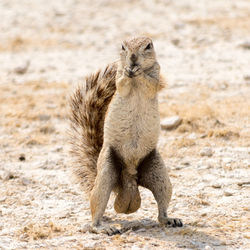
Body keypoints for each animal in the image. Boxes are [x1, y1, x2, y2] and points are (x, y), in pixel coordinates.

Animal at [69, 36, 183, 233]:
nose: (133, 58)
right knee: (96, 209)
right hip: (106, 172)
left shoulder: (155, 74)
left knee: (162, 207)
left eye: (148, 46)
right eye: (123, 46)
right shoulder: (119, 79)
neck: (135, 80)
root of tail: (128, 181)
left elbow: (150, 83)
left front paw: (138, 71)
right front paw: (129, 71)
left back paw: (170, 219)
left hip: (160, 175)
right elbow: (122, 83)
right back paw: (101, 227)